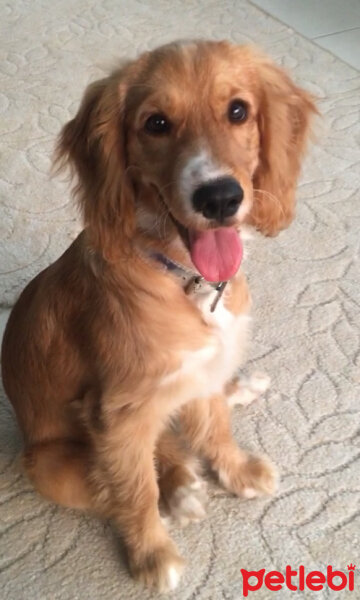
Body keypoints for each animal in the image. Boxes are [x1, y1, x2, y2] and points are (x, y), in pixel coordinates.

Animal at [0, 41, 316, 592]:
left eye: (238, 111)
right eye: (156, 124)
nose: (219, 197)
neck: (186, 280)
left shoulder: (204, 367)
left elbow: (215, 429)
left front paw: (236, 471)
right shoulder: (118, 414)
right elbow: (133, 490)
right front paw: (152, 554)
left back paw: (236, 397)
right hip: (47, 464)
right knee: (127, 474)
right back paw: (181, 490)